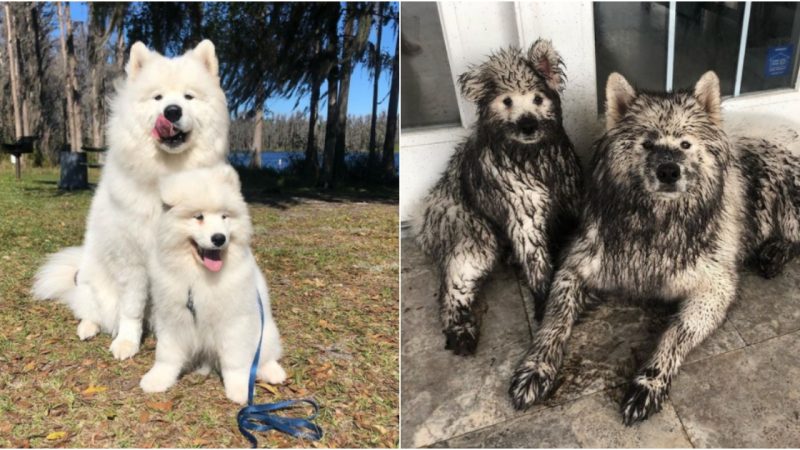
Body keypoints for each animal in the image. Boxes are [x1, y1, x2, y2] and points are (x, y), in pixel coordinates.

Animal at [32, 40, 230, 360]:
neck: (167, 174)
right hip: (94, 285)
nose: (171, 111)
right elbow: (131, 309)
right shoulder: (133, 261)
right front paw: (127, 342)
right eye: (157, 97)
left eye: (188, 96)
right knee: (88, 308)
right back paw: (88, 327)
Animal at [139, 163, 286, 402]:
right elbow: (166, 354)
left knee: (266, 354)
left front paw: (241, 390)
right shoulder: (172, 317)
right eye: (198, 217)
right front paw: (157, 379)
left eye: (225, 217)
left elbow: (236, 361)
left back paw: (273, 372)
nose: (219, 238)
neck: (199, 276)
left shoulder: (234, 322)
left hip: (266, 331)